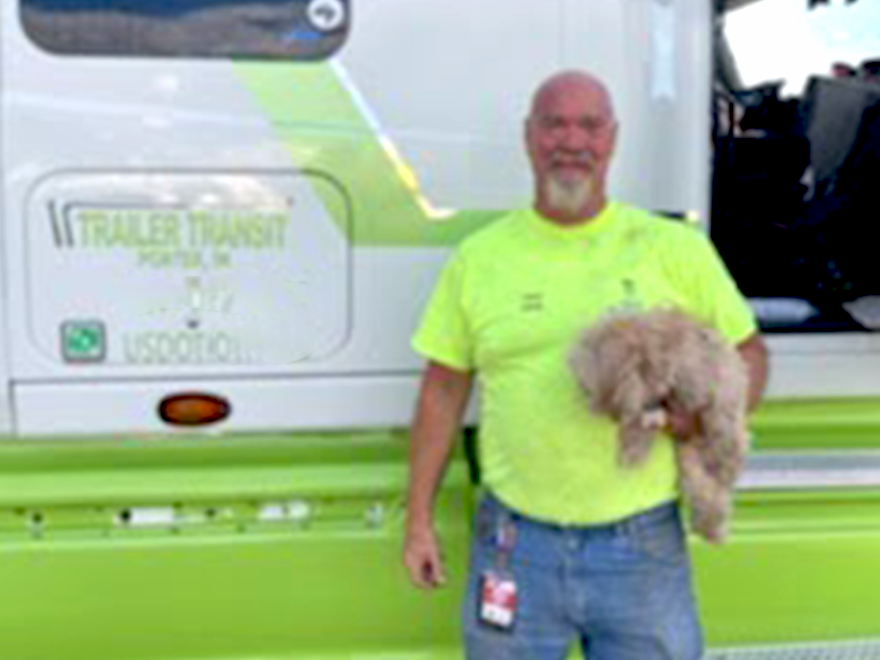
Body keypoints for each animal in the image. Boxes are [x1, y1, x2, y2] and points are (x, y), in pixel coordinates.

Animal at [572, 306, 748, 544]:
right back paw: (708, 526)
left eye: (591, 385)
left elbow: (724, 426)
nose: (600, 407)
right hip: (687, 458)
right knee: (705, 491)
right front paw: (633, 446)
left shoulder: (718, 389)